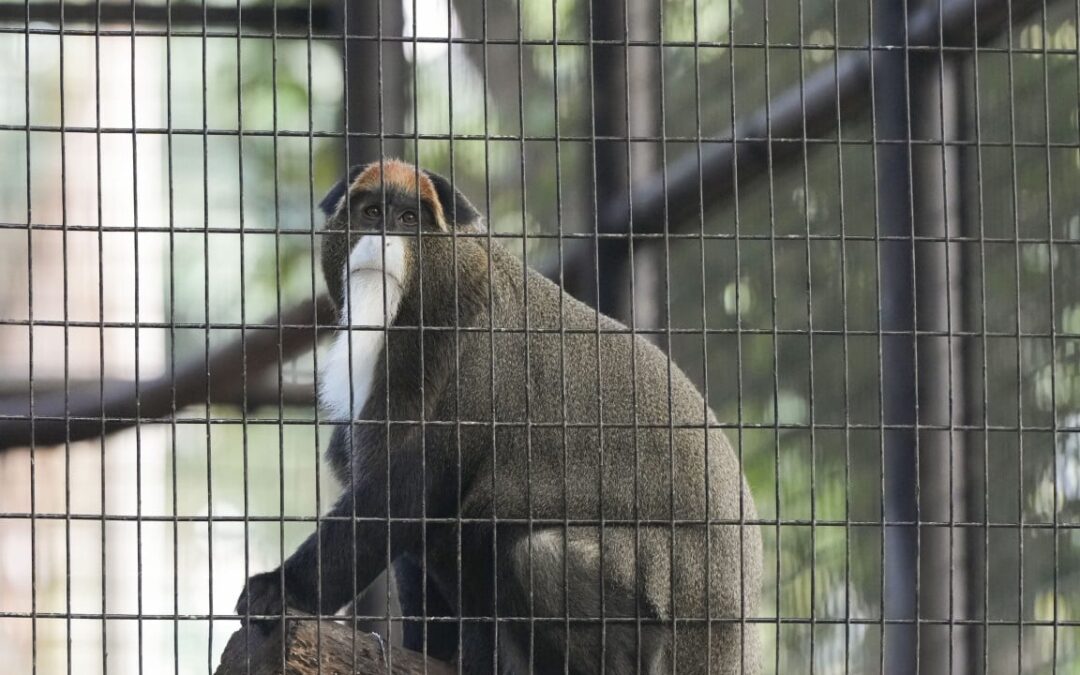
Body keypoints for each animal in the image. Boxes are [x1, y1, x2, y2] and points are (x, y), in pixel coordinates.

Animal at [234, 160, 760, 669]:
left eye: (408, 219)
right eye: (372, 213)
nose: (381, 238)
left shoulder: (461, 356)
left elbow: (403, 492)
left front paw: (279, 590)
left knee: (532, 554)